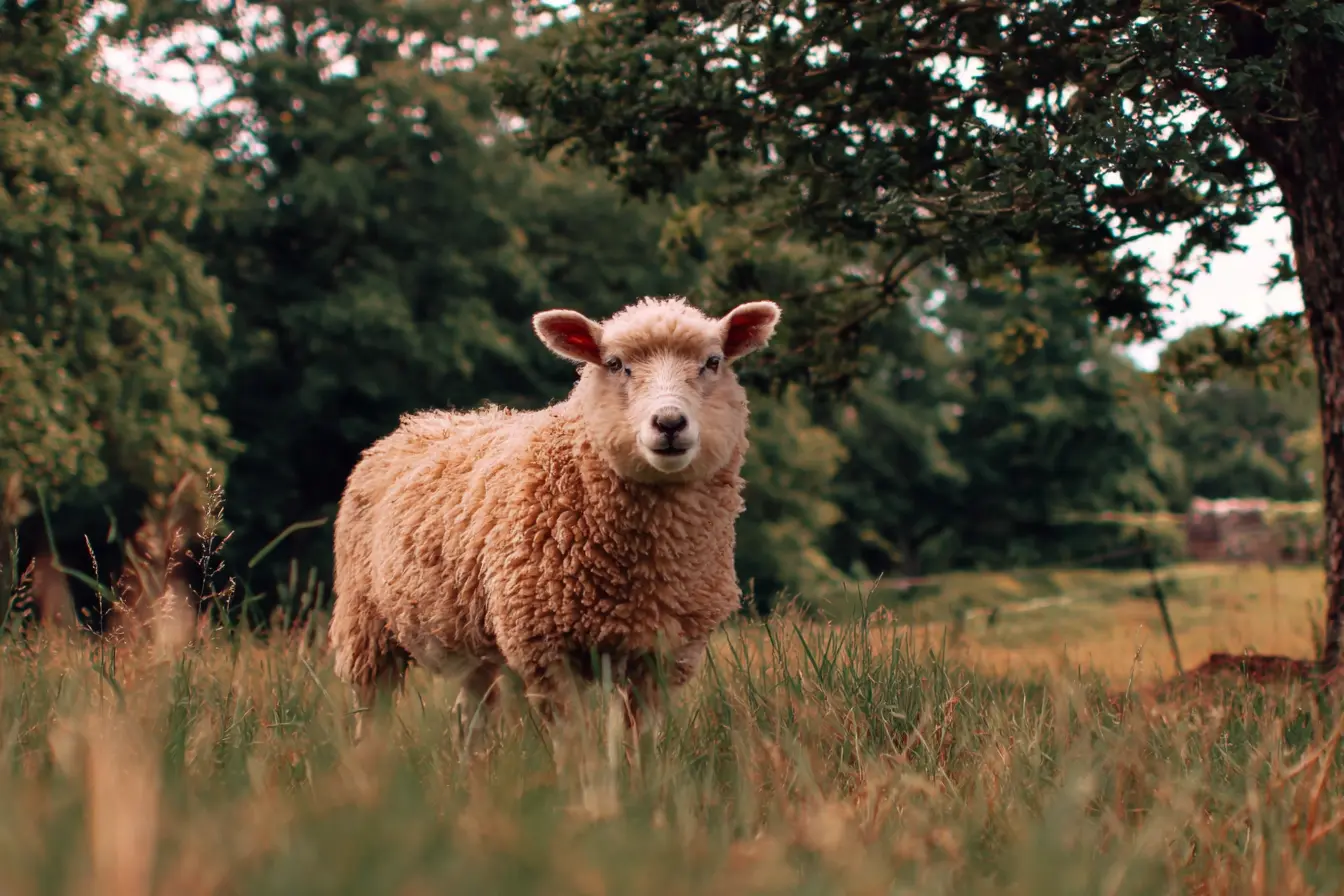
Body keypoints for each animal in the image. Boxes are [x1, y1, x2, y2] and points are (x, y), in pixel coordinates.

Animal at [328, 295, 781, 737]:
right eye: (614, 364)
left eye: (713, 362)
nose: (669, 423)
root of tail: (422, 420)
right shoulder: (547, 648)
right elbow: (574, 741)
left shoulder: (663, 656)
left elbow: (638, 742)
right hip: (366, 623)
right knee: (372, 711)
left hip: (476, 644)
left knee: (470, 718)